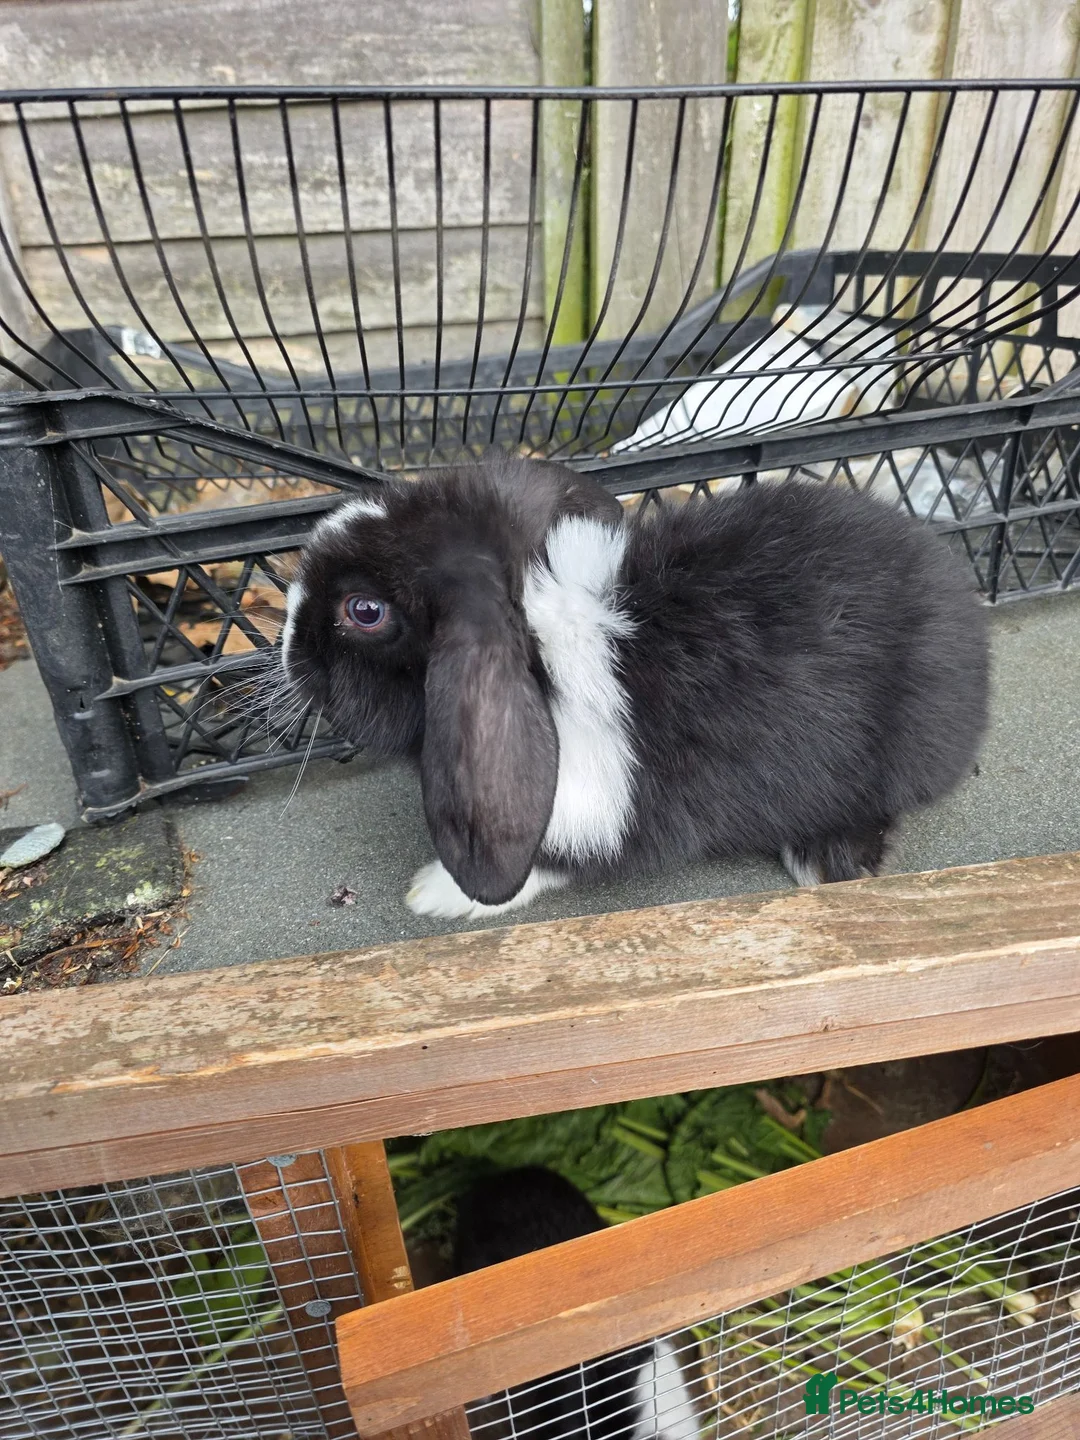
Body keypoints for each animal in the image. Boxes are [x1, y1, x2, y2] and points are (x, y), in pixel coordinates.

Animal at [280, 451, 989, 919]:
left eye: (363, 611)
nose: (285, 651)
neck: (540, 638)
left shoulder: (587, 802)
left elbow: (545, 865)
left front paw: (434, 894)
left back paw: (826, 862)